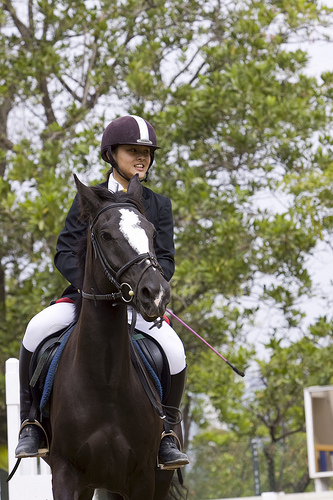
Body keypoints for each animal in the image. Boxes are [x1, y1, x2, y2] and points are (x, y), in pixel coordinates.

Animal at [45, 176, 182, 500]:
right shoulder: (65, 472)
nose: (155, 294)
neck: (103, 381)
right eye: (106, 235)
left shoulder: (143, 478)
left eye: (152, 232)